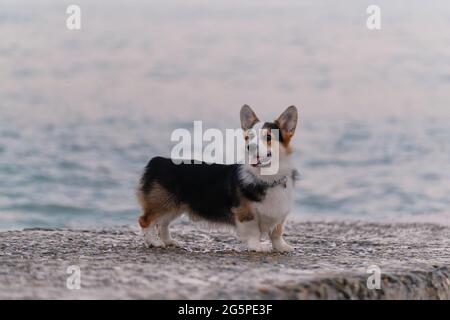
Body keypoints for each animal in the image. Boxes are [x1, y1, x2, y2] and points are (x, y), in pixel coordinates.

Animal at [137, 105, 298, 252]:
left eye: (269, 137)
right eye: (248, 138)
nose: (250, 147)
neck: (267, 177)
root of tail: (158, 161)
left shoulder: (279, 213)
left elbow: (277, 233)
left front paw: (282, 247)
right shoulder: (246, 214)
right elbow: (254, 232)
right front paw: (257, 246)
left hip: (174, 206)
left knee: (163, 224)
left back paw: (169, 241)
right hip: (162, 203)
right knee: (145, 221)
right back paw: (154, 242)